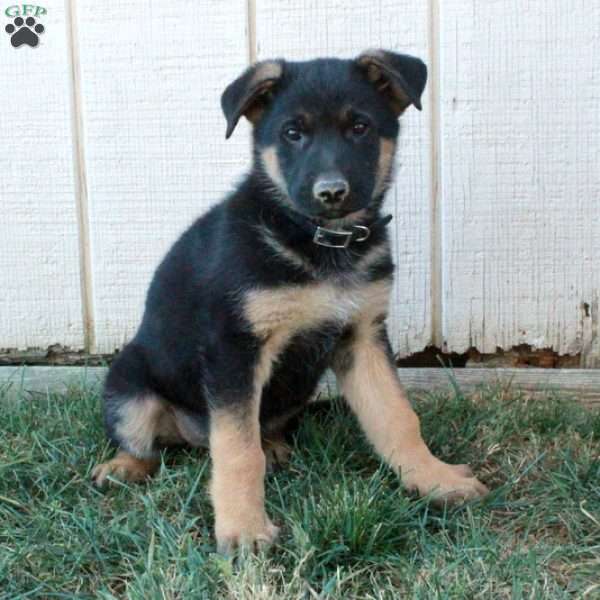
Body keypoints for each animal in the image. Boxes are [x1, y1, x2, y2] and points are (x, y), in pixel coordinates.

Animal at [92, 49, 488, 552]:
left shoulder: (362, 337)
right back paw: (123, 467)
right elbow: (237, 451)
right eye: (292, 133)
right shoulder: (235, 349)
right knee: (146, 443)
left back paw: (275, 446)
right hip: (130, 386)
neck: (319, 242)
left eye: (359, 127)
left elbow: (398, 417)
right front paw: (244, 529)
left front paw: (436, 480)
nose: (331, 192)